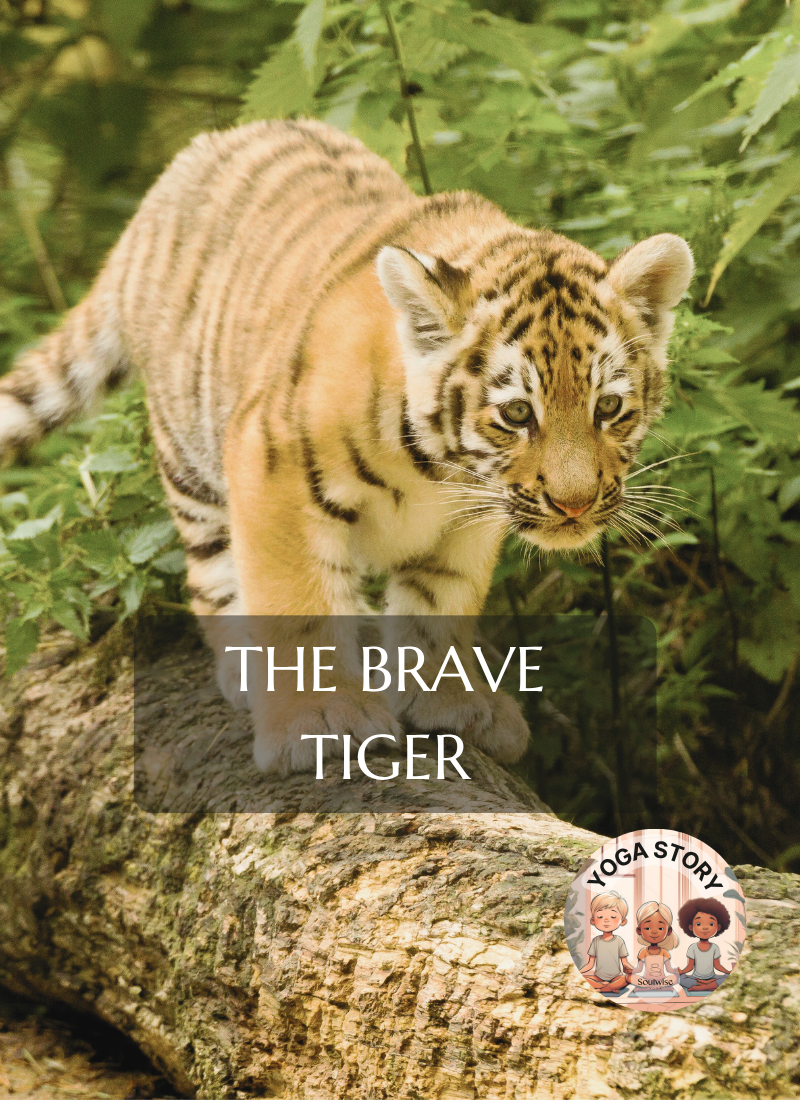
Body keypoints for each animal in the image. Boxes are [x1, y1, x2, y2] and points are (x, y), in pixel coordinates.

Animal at [0, 118, 693, 775]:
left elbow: (439, 602)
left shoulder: (471, 520)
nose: (576, 506)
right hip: (190, 456)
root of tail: (177, 172)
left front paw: (452, 704)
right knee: (212, 571)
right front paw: (320, 722)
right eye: (517, 413)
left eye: (609, 408)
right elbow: (299, 603)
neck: (440, 469)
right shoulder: (271, 472)